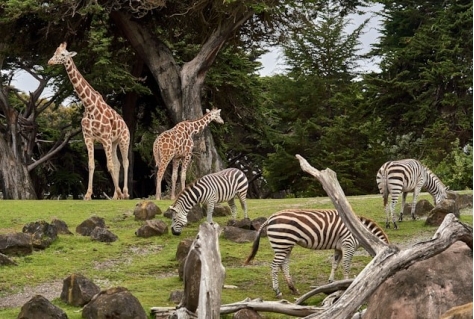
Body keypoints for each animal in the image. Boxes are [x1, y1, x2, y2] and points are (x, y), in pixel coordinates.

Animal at [48, 43, 130, 200]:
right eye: (54, 52)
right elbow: (92, 164)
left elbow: (109, 165)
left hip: (124, 140)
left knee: (125, 162)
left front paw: (118, 193)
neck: (89, 106)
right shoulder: (89, 138)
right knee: (117, 163)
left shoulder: (105, 138)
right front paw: (87, 194)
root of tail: (125, 125)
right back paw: (116, 196)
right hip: (114, 142)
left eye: (63, 55)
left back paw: (125, 193)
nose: (50, 62)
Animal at [244, 209, 388, 298]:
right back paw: (277, 291)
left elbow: (335, 264)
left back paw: (293, 288)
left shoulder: (339, 248)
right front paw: (348, 284)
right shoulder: (348, 245)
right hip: (282, 243)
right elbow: (346, 266)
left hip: (285, 245)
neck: (360, 233)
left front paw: (331, 282)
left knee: (283, 265)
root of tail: (270, 218)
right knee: (274, 266)